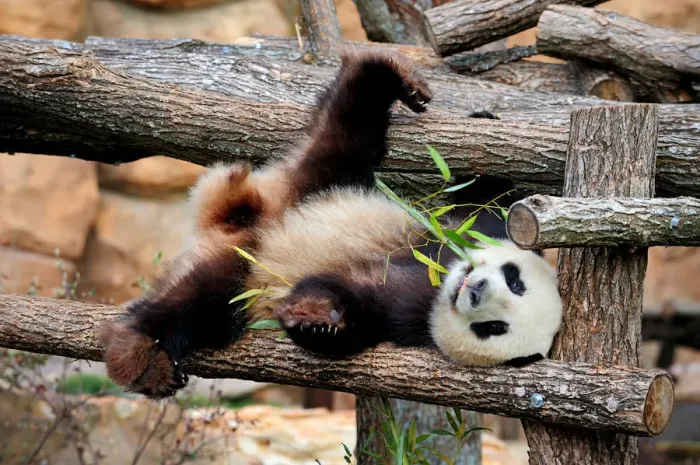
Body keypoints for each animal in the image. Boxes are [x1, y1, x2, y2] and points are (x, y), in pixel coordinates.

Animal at [100, 49, 562, 400]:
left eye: (493, 328)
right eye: (515, 279)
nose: (475, 288)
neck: (438, 279)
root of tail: (242, 220)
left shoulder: (411, 320)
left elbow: (355, 313)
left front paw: (317, 319)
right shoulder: (460, 231)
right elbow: (482, 203)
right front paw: (486, 128)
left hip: (244, 267)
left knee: (204, 302)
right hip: (317, 187)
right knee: (345, 133)